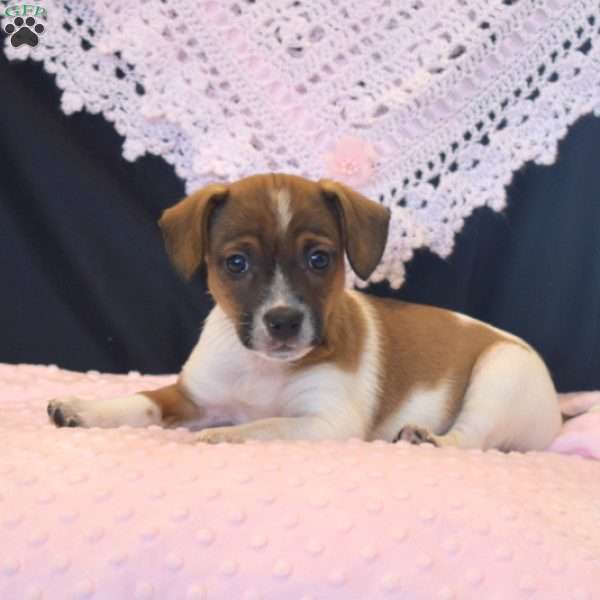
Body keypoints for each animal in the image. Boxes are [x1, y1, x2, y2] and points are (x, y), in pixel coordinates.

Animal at [47, 173, 564, 450]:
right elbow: (142, 401)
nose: (283, 321)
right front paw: (83, 408)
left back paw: (429, 439)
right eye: (237, 263)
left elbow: (266, 425)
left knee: (470, 438)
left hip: (500, 374)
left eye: (319, 259)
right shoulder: (191, 398)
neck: (262, 368)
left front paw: (225, 436)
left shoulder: (324, 422)